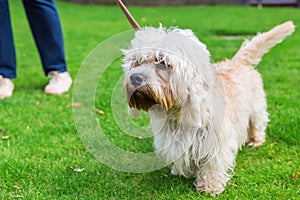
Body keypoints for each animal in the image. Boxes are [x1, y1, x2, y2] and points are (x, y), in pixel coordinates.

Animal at [116, 0, 294, 195]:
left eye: (162, 62)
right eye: (137, 62)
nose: (135, 78)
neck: (179, 111)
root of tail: (237, 61)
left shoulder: (216, 143)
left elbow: (212, 165)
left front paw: (209, 186)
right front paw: (182, 171)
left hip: (257, 108)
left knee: (258, 124)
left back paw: (255, 141)